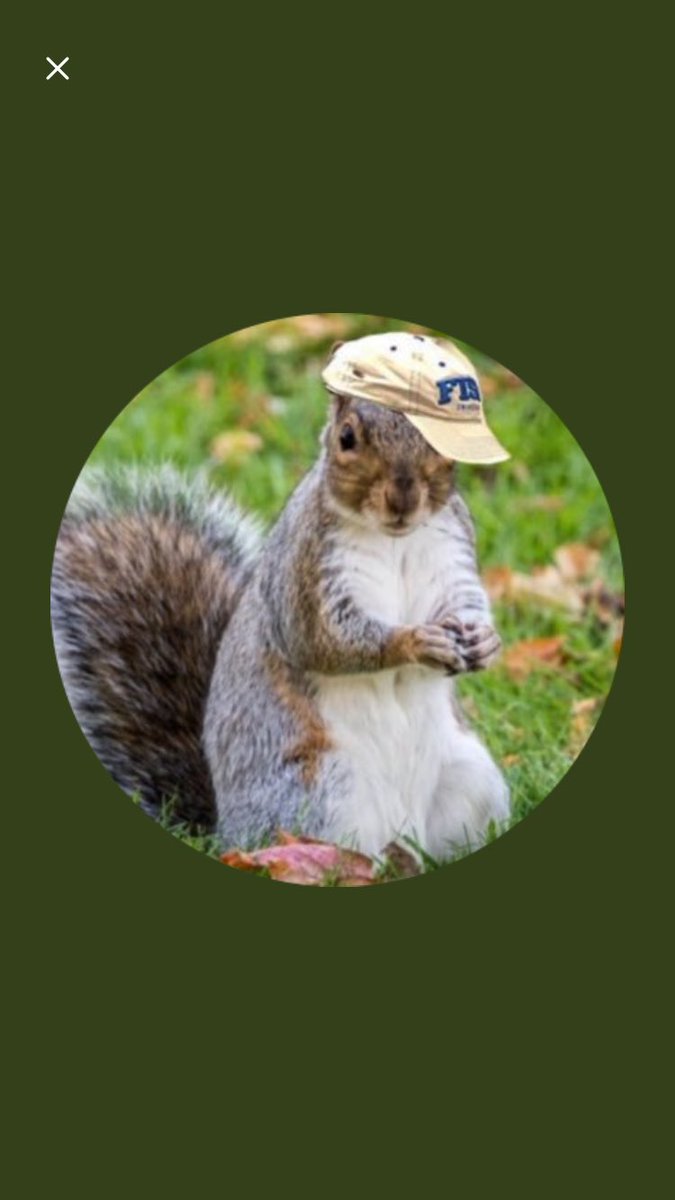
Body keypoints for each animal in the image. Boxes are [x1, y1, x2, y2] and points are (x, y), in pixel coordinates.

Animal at [51, 334, 510, 861]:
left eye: (445, 445)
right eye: (346, 438)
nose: (403, 499)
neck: (394, 539)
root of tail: (228, 831)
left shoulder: (452, 553)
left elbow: (465, 600)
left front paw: (486, 642)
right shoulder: (306, 571)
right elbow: (321, 639)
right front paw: (416, 642)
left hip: (471, 779)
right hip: (321, 790)